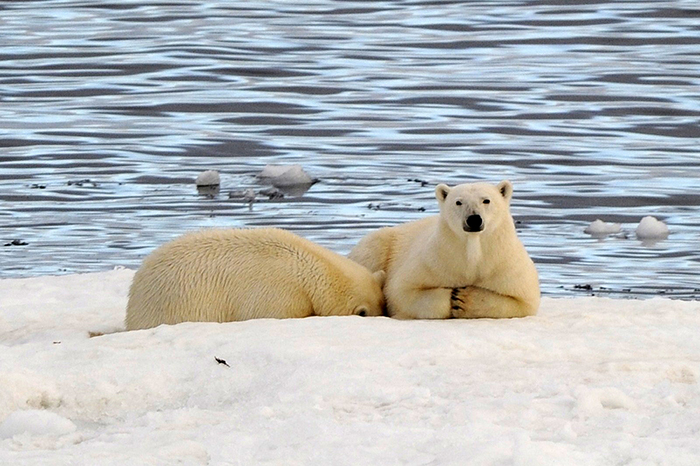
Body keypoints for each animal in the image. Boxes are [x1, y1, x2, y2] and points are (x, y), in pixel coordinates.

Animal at [350, 180, 540, 318]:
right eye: (458, 202)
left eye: (486, 200)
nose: (473, 219)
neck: (472, 255)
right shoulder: (434, 260)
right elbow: (402, 290)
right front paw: (454, 297)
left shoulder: (504, 265)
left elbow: (522, 302)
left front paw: (464, 299)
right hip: (380, 244)